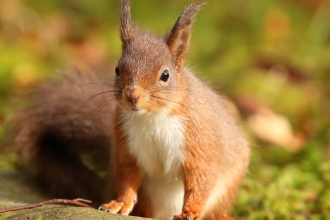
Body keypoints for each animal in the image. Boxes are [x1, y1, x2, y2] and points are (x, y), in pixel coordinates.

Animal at [5, 0, 249, 220]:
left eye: (165, 75)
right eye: (117, 69)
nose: (132, 96)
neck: (153, 118)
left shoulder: (198, 141)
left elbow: (200, 178)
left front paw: (191, 211)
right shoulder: (126, 145)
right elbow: (128, 177)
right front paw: (119, 204)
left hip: (228, 186)